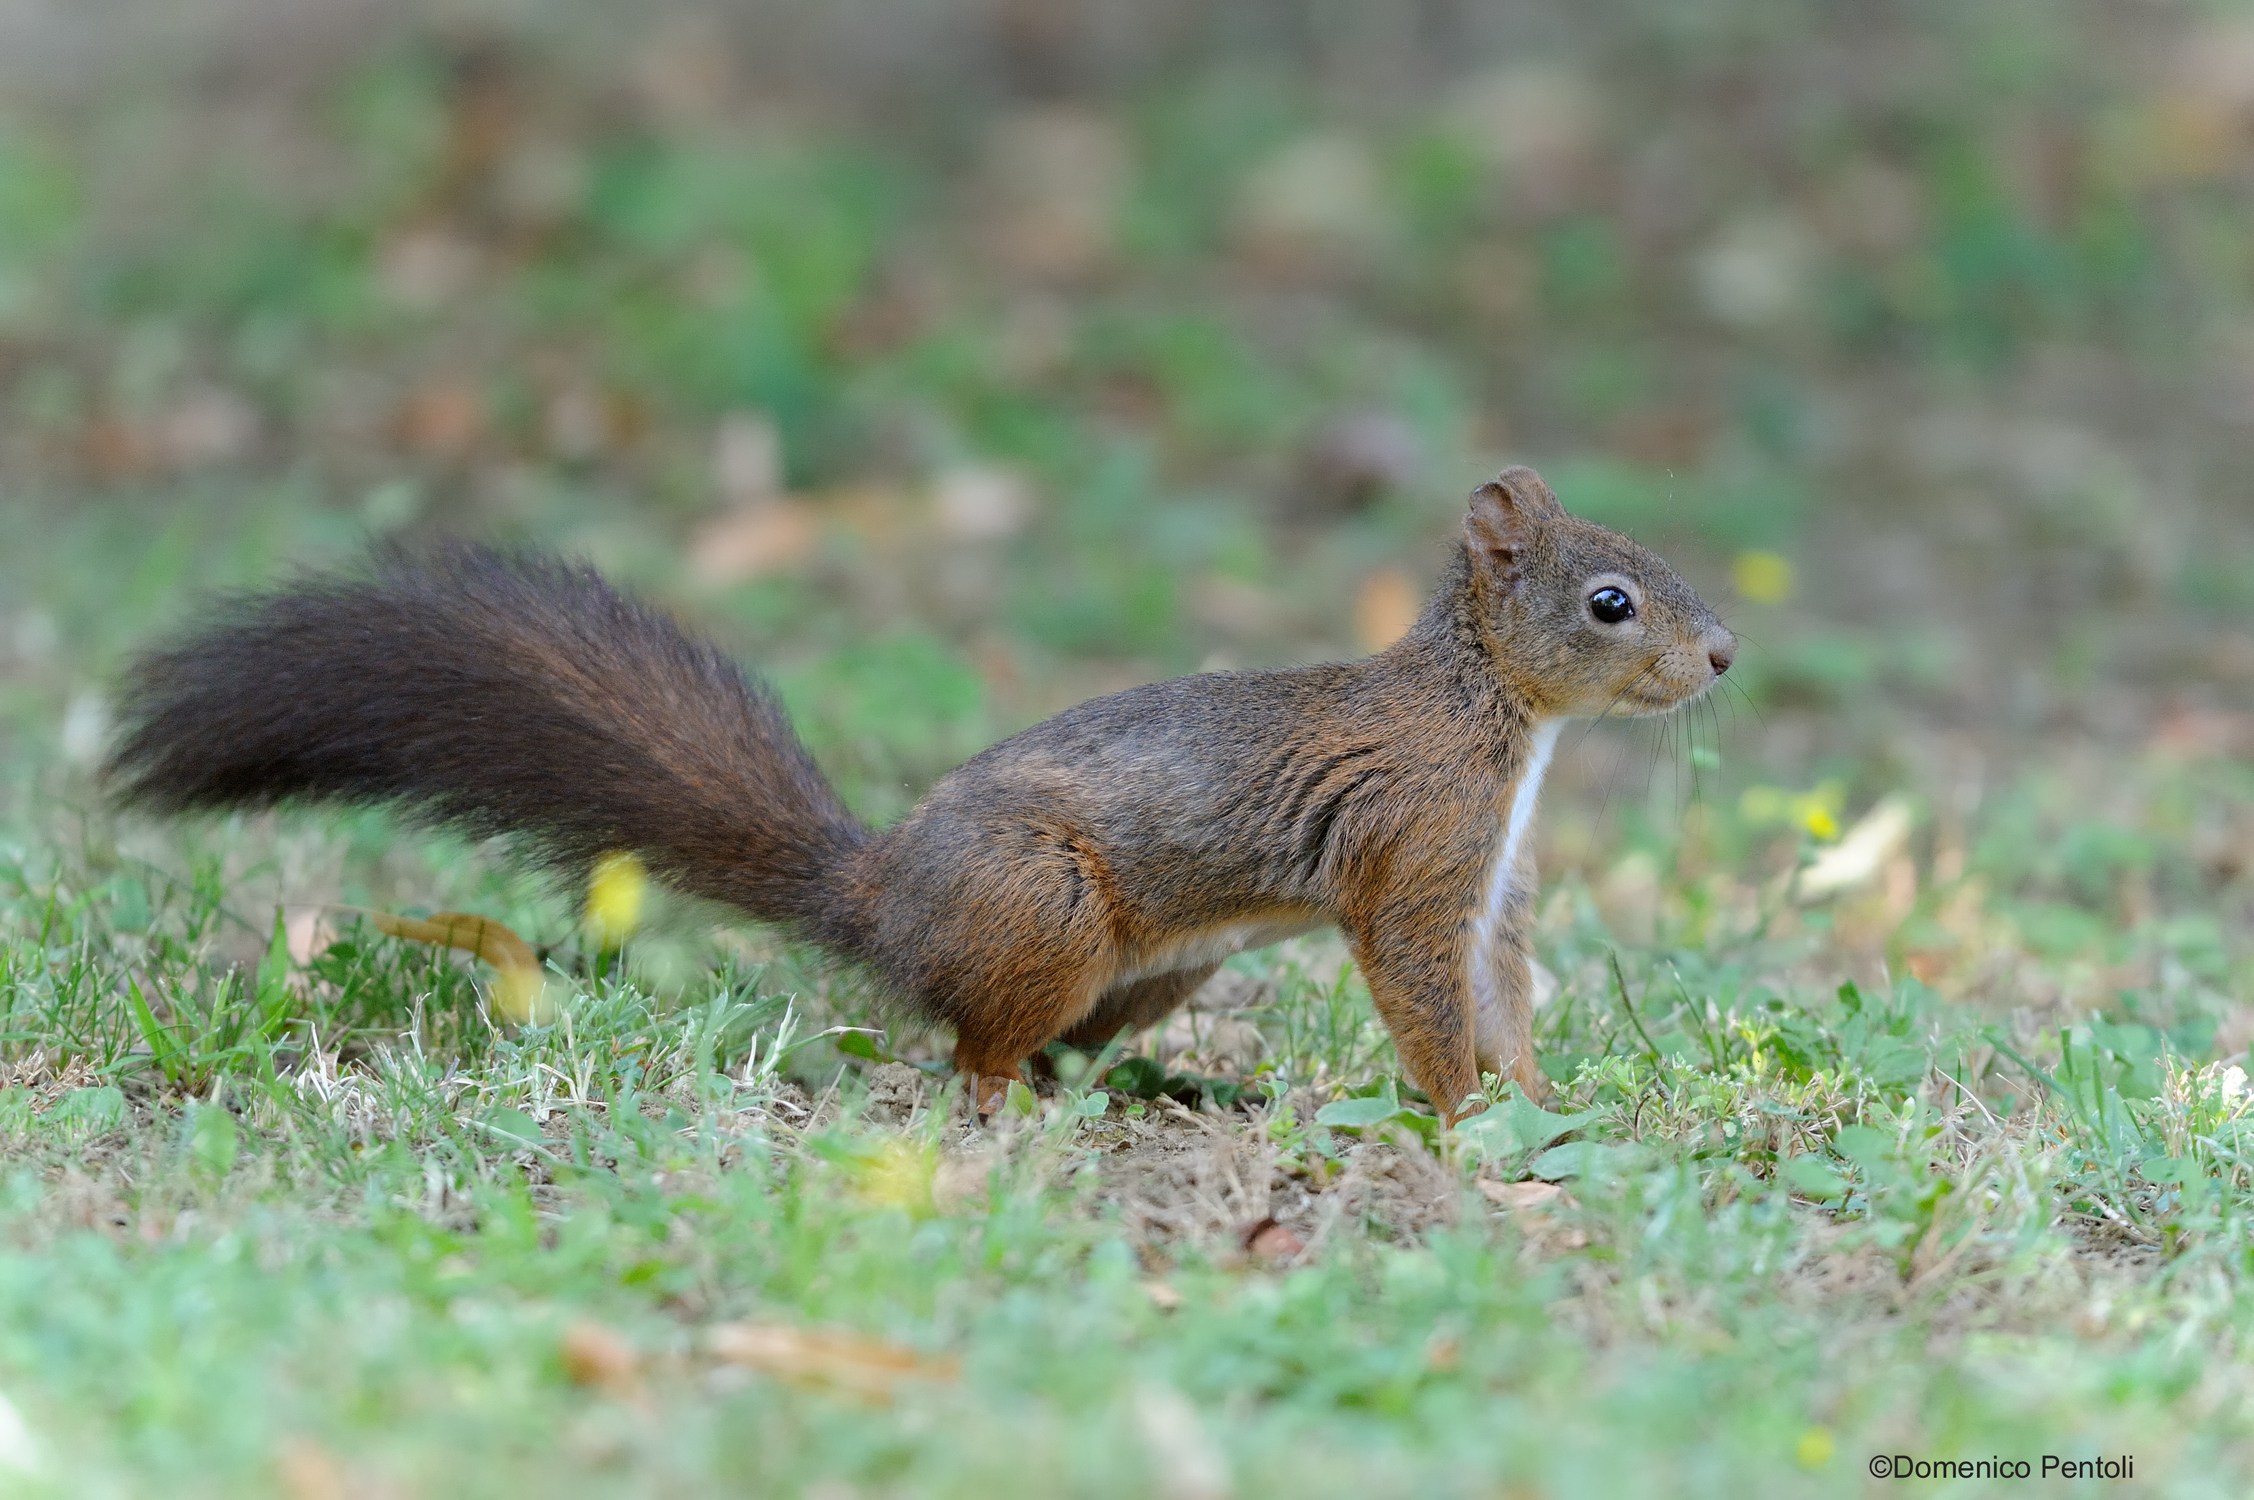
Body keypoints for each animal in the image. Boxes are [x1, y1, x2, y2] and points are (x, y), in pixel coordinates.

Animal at [105, 466, 1734, 1124]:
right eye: (1608, 601)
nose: (1722, 654)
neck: (1497, 720)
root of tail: (880, 900)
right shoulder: (1413, 853)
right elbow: (1420, 989)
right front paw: (1463, 1124)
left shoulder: (1493, 891)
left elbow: (1503, 995)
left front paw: (1542, 1103)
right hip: (1047, 910)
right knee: (971, 1052)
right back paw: (1009, 1113)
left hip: (1151, 967)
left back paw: (1164, 1088)